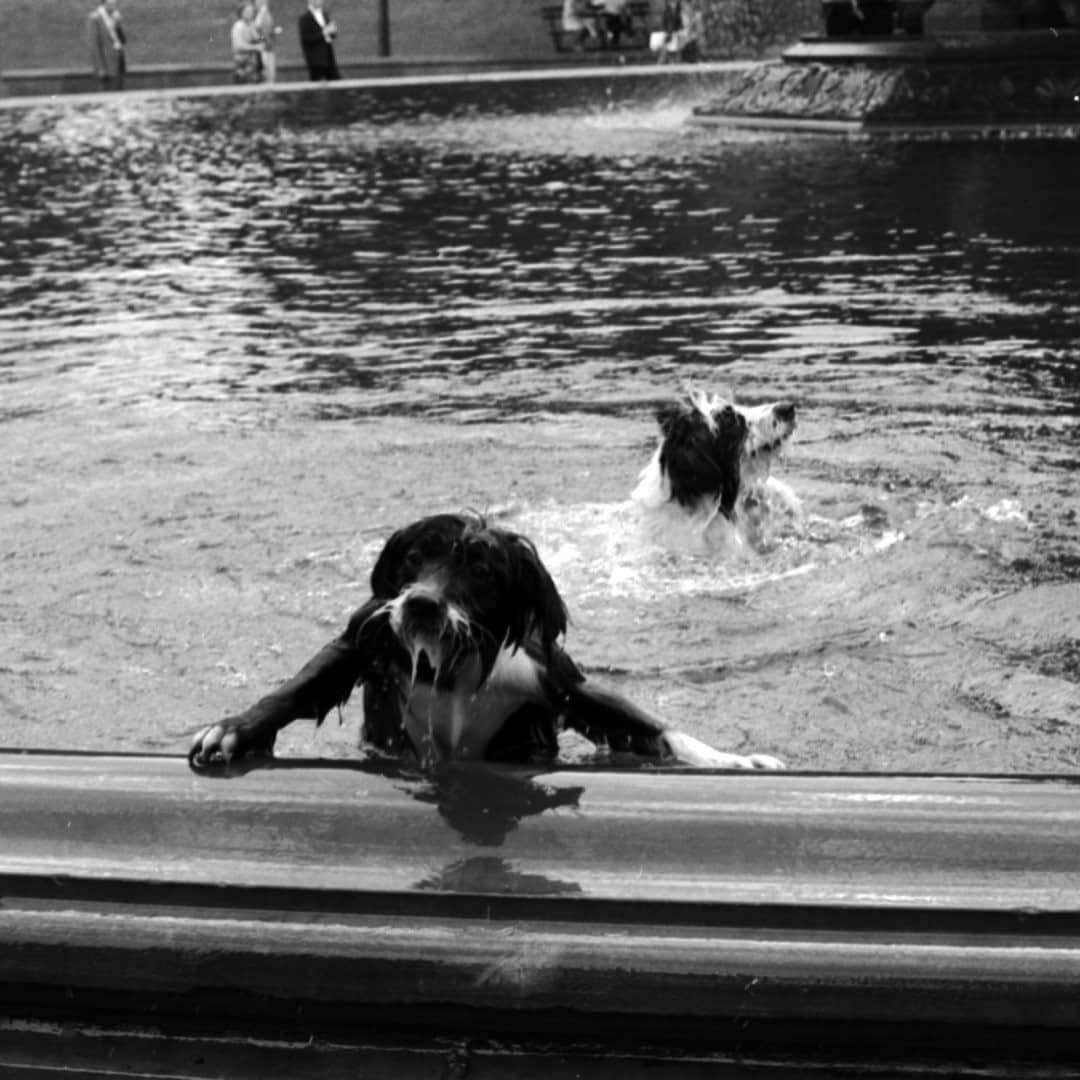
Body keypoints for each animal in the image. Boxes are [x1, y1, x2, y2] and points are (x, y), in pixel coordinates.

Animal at [190, 511, 781, 768]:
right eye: (415, 556)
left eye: (481, 571)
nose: (422, 604)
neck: (452, 667)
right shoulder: (369, 637)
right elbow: (298, 687)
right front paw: (234, 730)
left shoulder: (555, 679)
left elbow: (646, 725)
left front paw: (732, 760)